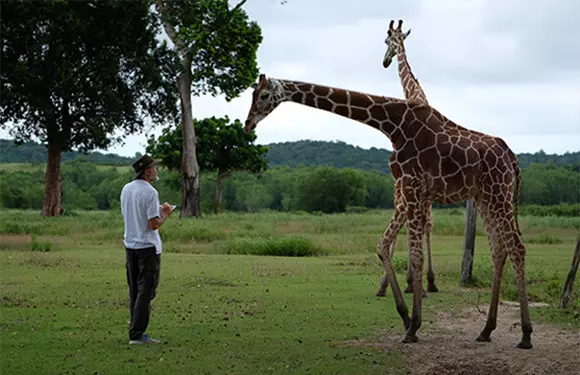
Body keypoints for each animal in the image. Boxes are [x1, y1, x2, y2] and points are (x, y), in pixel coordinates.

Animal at [242, 73, 532, 350]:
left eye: (264, 95)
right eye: (253, 94)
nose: (248, 124)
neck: (392, 124)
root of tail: (512, 158)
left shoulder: (412, 185)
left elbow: (415, 255)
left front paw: (413, 326)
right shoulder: (410, 189)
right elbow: (389, 246)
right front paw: (407, 318)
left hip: (498, 193)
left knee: (516, 247)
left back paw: (526, 335)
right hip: (485, 198)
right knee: (499, 250)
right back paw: (486, 330)